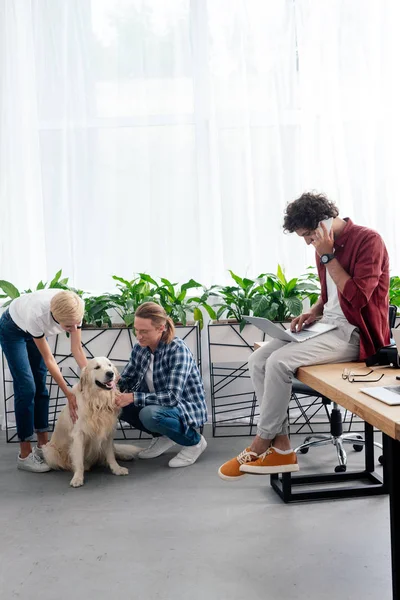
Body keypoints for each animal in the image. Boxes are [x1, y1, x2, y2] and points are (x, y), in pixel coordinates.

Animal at [43, 356, 141, 488]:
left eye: (109, 365)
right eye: (97, 367)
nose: (110, 373)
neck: (98, 401)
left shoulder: (108, 432)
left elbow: (110, 455)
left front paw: (117, 469)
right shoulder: (78, 435)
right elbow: (79, 460)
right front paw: (78, 477)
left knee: (114, 451)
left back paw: (124, 455)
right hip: (49, 451)